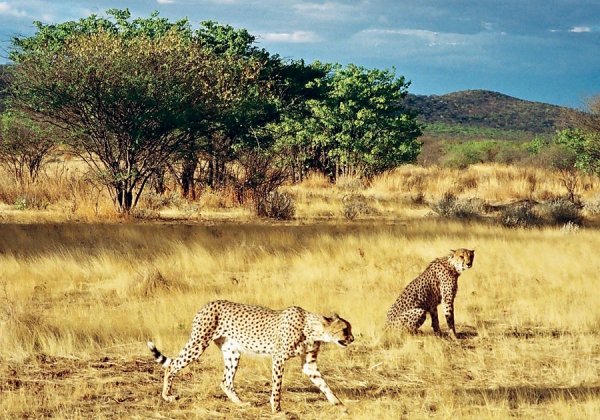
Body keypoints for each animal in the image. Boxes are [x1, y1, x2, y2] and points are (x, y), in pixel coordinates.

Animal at [148, 300, 354, 412]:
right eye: (345, 330)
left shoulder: (309, 364)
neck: (312, 329)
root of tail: (209, 303)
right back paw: (167, 396)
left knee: (226, 381)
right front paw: (276, 408)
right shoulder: (278, 357)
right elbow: (277, 386)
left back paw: (240, 404)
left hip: (232, 352)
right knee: (172, 365)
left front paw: (338, 403)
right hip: (199, 343)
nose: (352, 338)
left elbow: (323, 384)